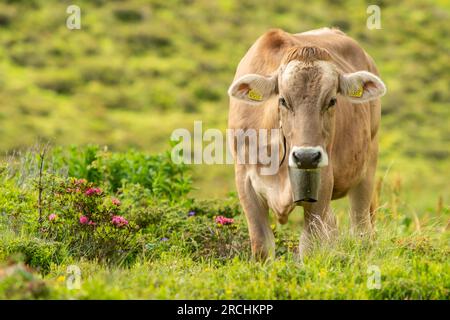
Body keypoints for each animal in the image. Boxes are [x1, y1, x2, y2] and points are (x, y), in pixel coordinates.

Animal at [229, 28, 386, 260]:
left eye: (332, 100)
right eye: (283, 100)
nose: (306, 156)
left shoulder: (322, 182)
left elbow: (310, 246)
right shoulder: (245, 181)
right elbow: (262, 246)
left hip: (367, 169)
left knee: (361, 229)